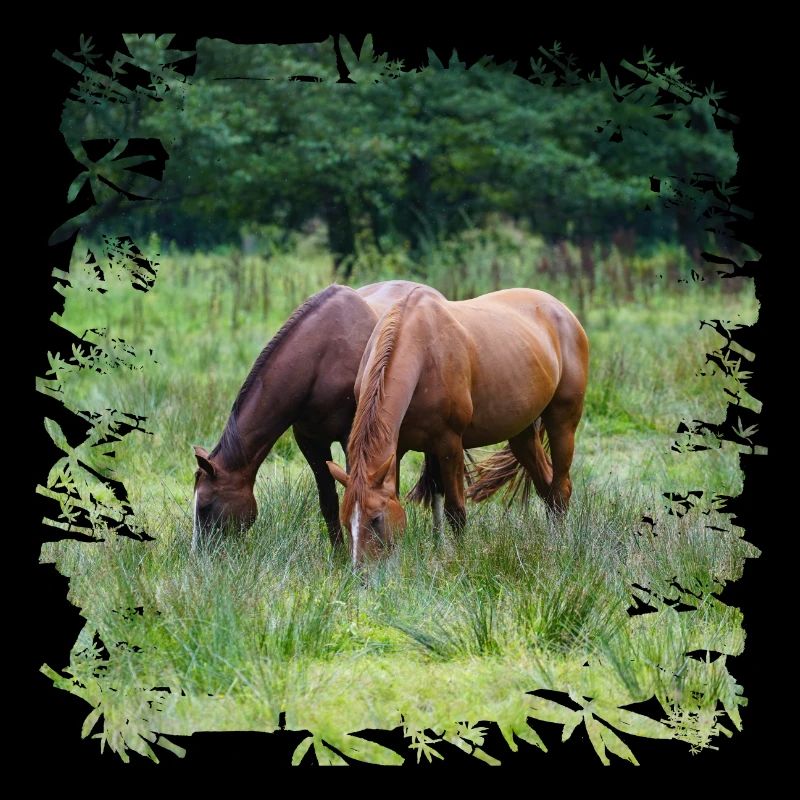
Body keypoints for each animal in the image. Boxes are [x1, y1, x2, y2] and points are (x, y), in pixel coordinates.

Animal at [191, 280, 445, 552]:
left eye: (205, 507)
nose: (199, 556)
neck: (321, 359)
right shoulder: (310, 441)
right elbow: (329, 501)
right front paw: (339, 555)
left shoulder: (350, 440)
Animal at [326, 286, 589, 565]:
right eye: (347, 522)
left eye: (375, 519)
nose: (360, 571)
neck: (422, 349)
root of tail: (563, 312)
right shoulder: (397, 448)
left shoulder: (449, 443)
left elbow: (455, 509)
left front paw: (458, 556)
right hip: (522, 434)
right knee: (546, 485)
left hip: (562, 423)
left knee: (560, 489)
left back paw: (559, 546)